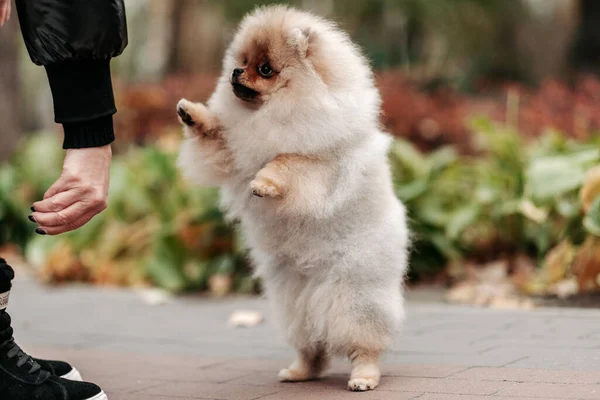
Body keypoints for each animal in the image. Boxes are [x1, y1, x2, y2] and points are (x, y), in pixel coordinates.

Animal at [173, 5, 408, 390]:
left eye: (266, 69)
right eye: (242, 61)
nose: (235, 72)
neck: (273, 111)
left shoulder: (320, 165)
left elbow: (285, 161)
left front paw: (264, 184)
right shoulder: (233, 154)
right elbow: (217, 136)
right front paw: (193, 114)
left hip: (355, 295)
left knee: (363, 341)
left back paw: (363, 376)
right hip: (293, 301)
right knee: (312, 344)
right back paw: (299, 371)